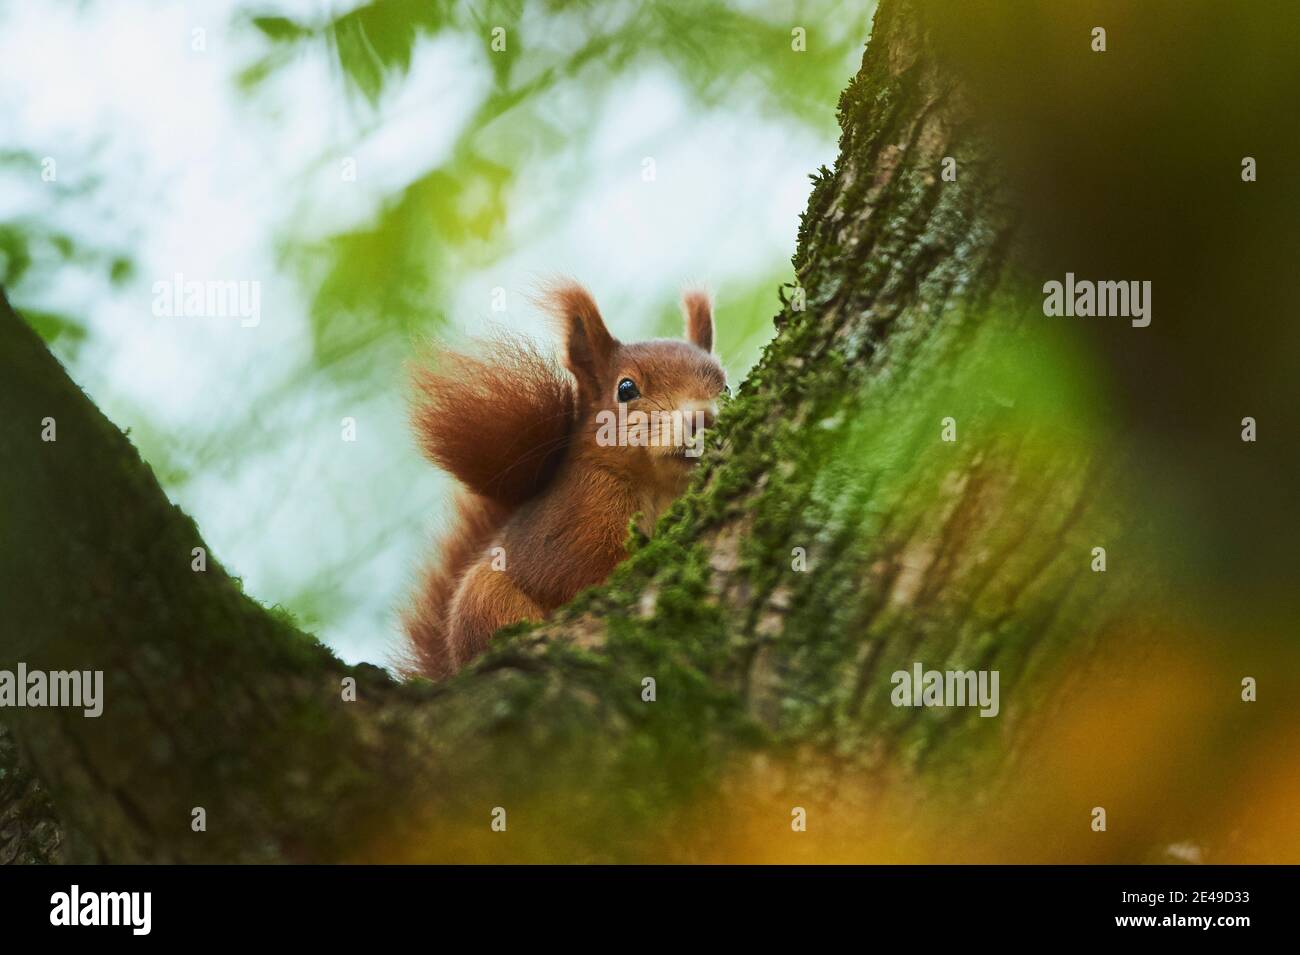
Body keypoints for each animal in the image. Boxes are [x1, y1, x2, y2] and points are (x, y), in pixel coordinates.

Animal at [403, 283, 728, 680]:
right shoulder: (576, 518)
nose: (703, 419)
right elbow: (576, 576)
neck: (658, 485)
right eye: (626, 389)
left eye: (726, 389)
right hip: (485, 599)